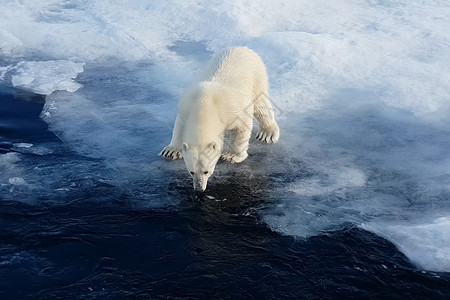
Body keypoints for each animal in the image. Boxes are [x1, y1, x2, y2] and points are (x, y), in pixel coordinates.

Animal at [160, 47, 280, 192]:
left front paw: (231, 155)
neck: (205, 105)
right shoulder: (186, 106)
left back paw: (267, 133)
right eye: (191, 171)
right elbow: (179, 126)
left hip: (256, 76)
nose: (199, 188)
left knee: (261, 105)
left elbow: (242, 127)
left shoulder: (232, 110)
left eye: (206, 171)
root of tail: (243, 48)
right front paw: (171, 151)